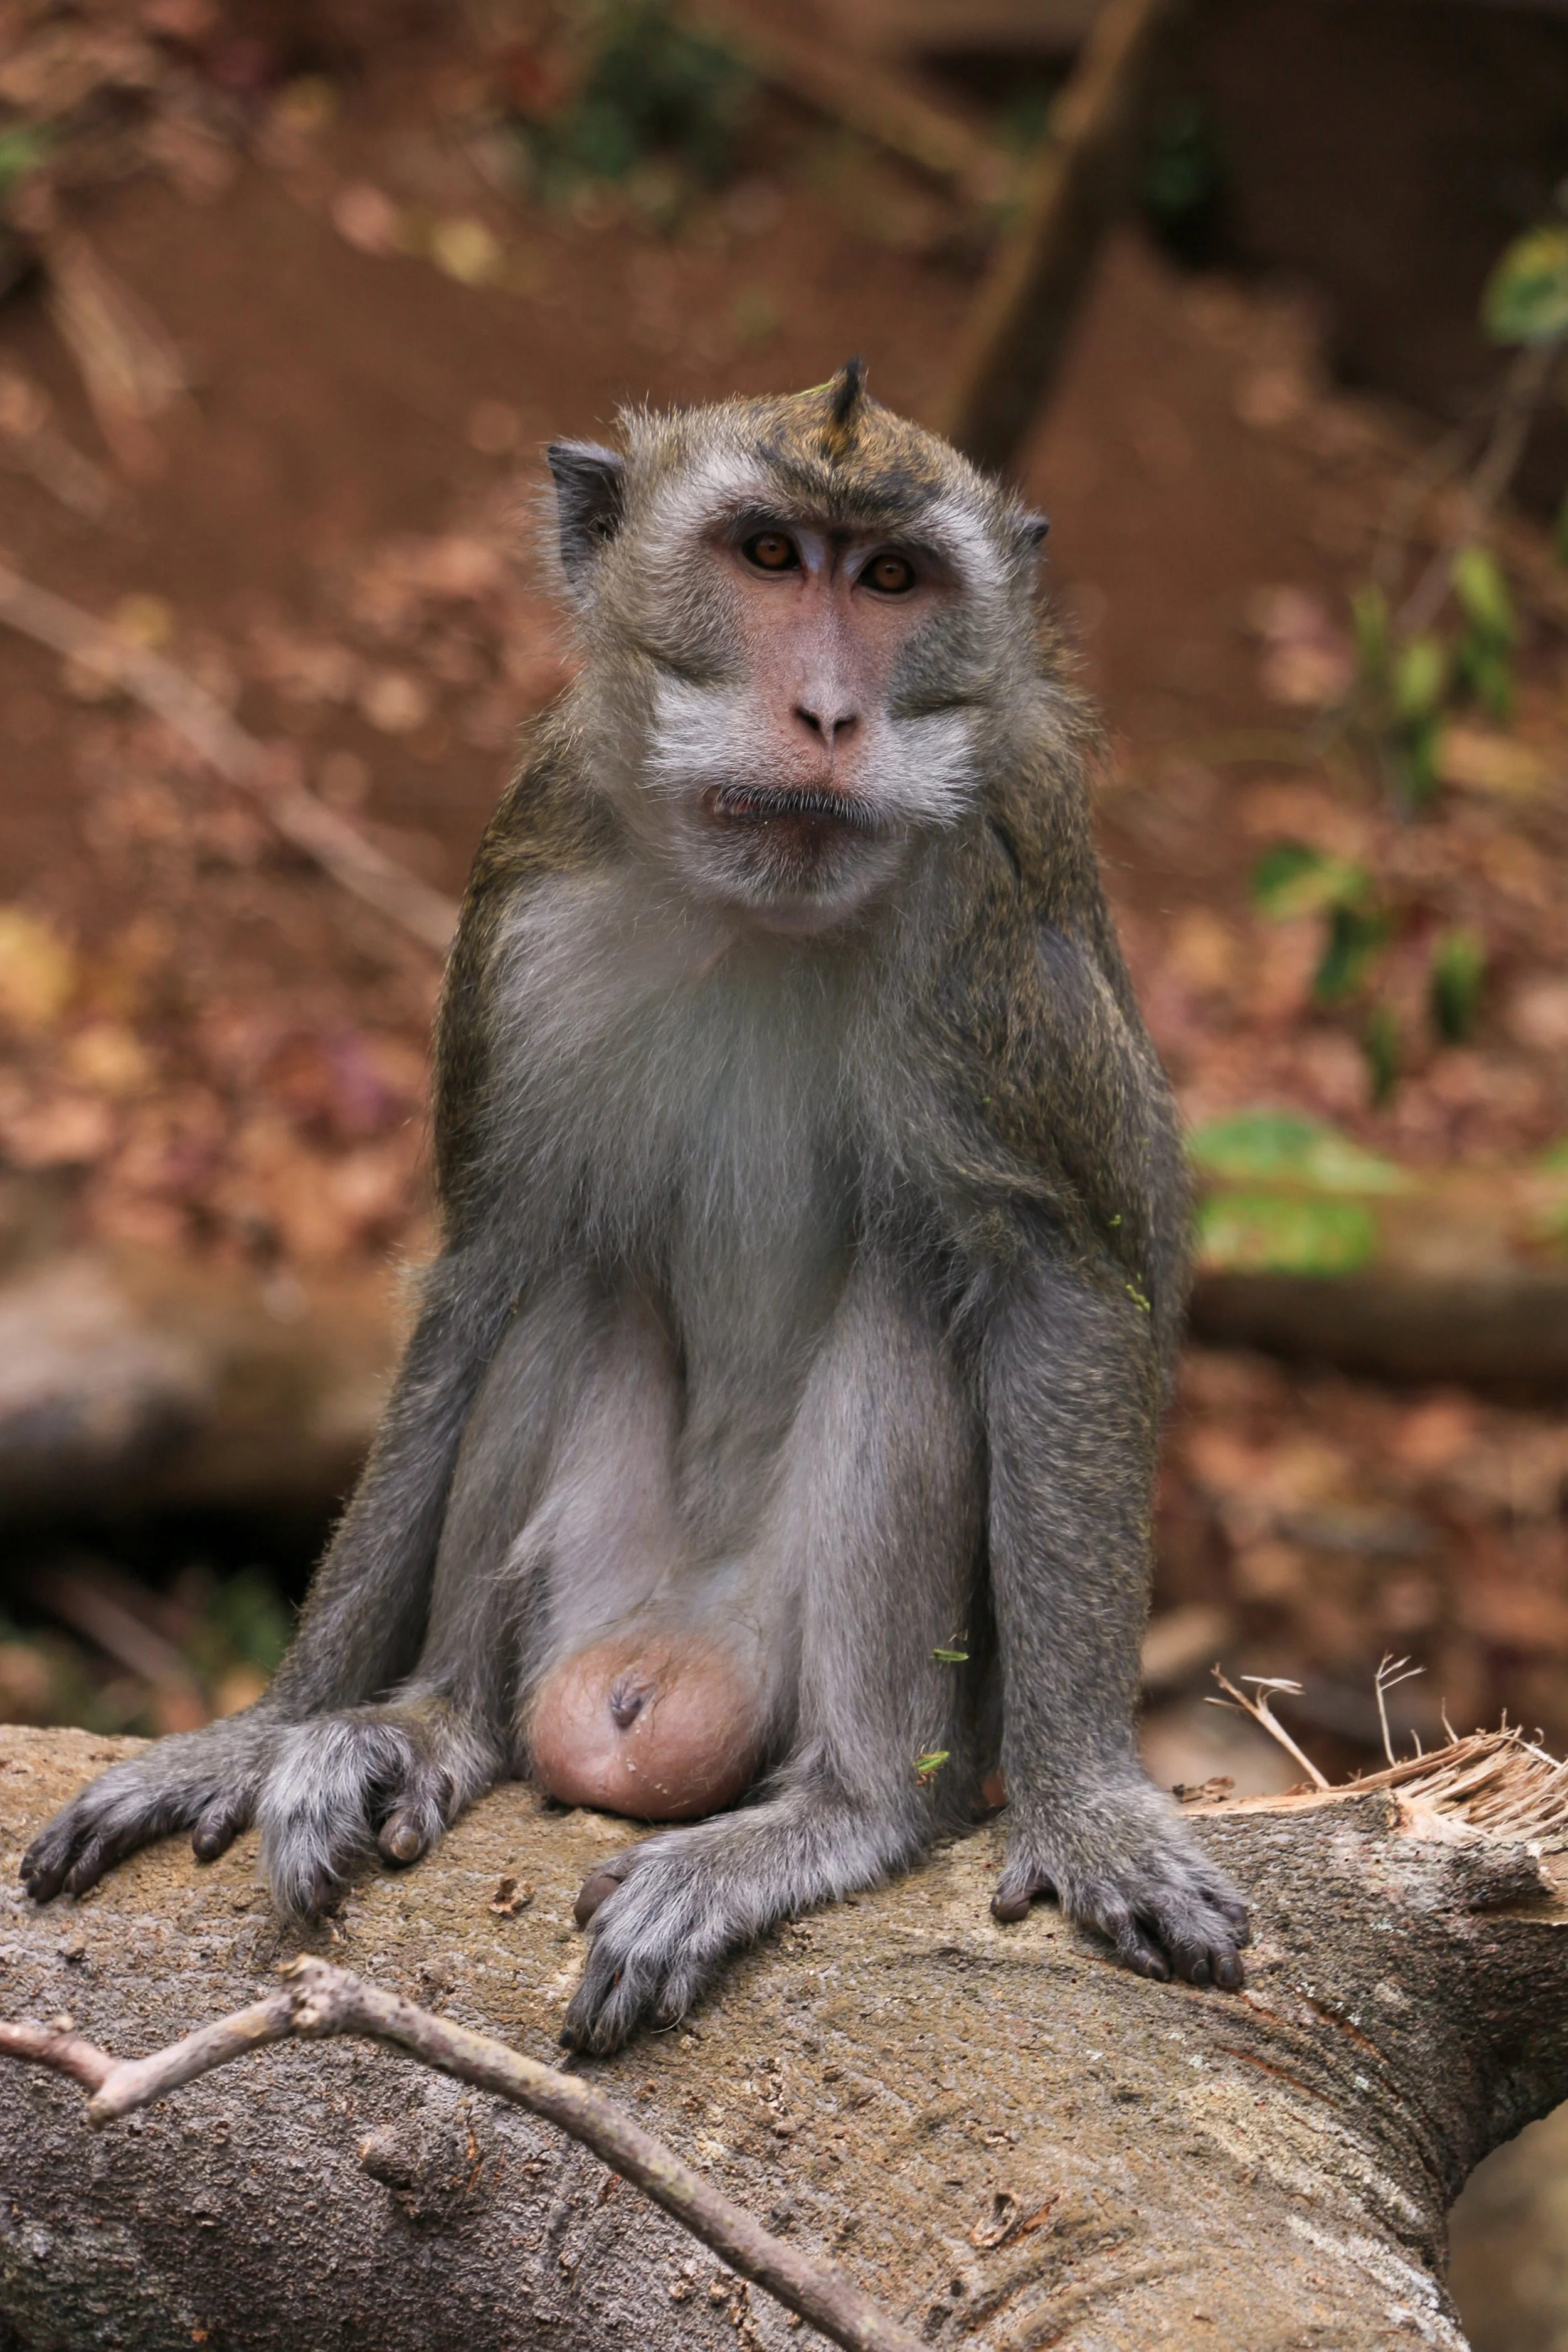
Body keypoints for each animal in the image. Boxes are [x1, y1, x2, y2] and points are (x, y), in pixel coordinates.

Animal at [22, 361, 1248, 2051]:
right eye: (766, 555)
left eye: (890, 580)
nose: (828, 715)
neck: (761, 906)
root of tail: (668, 1649)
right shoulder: (529, 893)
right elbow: (492, 1264)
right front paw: (263, 1725)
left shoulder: (993, 926)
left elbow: (1064, 1287)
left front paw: (1085, 1806)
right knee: (572, 1287)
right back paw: (426, 1725)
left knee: (903, 1308)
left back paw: (840, 1813)